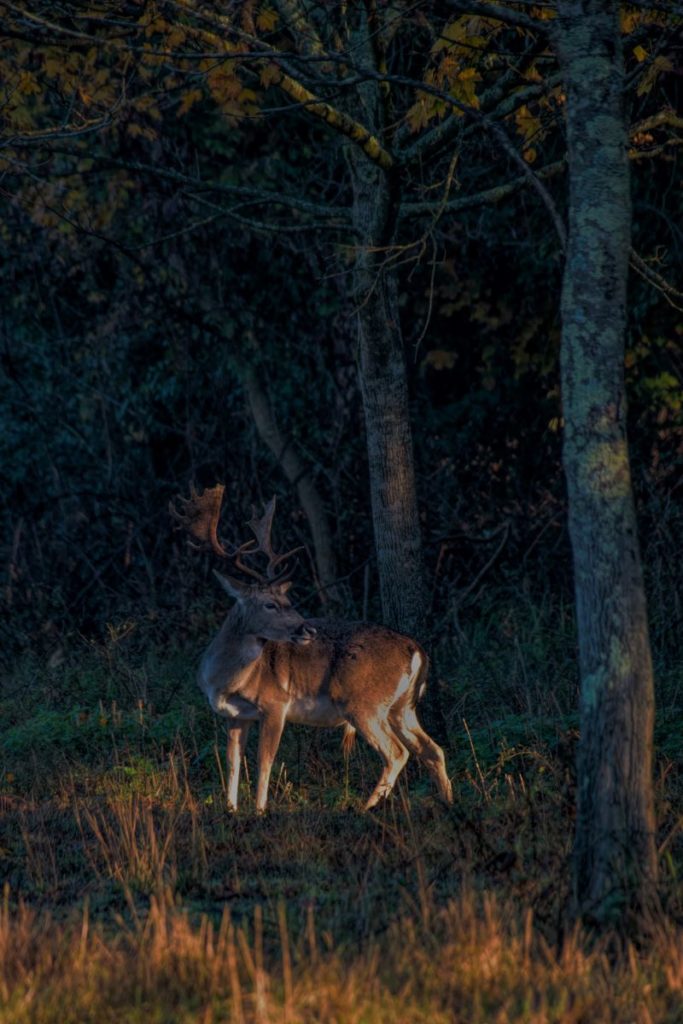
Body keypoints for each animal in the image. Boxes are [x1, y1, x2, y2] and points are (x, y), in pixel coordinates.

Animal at [171, 483, 454, 811]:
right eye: (270, 604)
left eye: (287, 600)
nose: (308, 628)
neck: (224, 679)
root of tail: (416, 649)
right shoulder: (235, 716)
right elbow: (232, 763)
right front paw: (230, 809)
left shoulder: (275, 703)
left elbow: (264, 762)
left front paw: (259, 811)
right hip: (401, 707)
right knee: (432, 749)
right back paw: (450, 804)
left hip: (364, 703)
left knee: (397, 753)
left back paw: (365, 807)